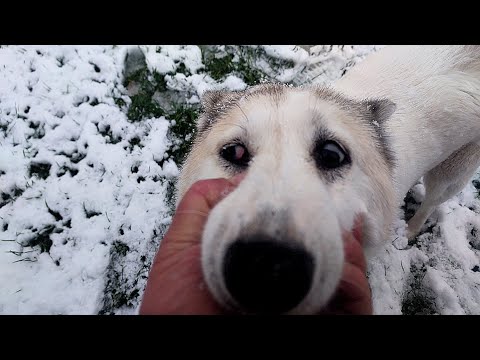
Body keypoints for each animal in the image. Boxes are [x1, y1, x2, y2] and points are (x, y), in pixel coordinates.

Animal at [175, 46, 480, 314]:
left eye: (332, 155)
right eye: (234, 152)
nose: (268, 268)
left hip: (451, 172)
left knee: (432, 200)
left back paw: (410, 229)